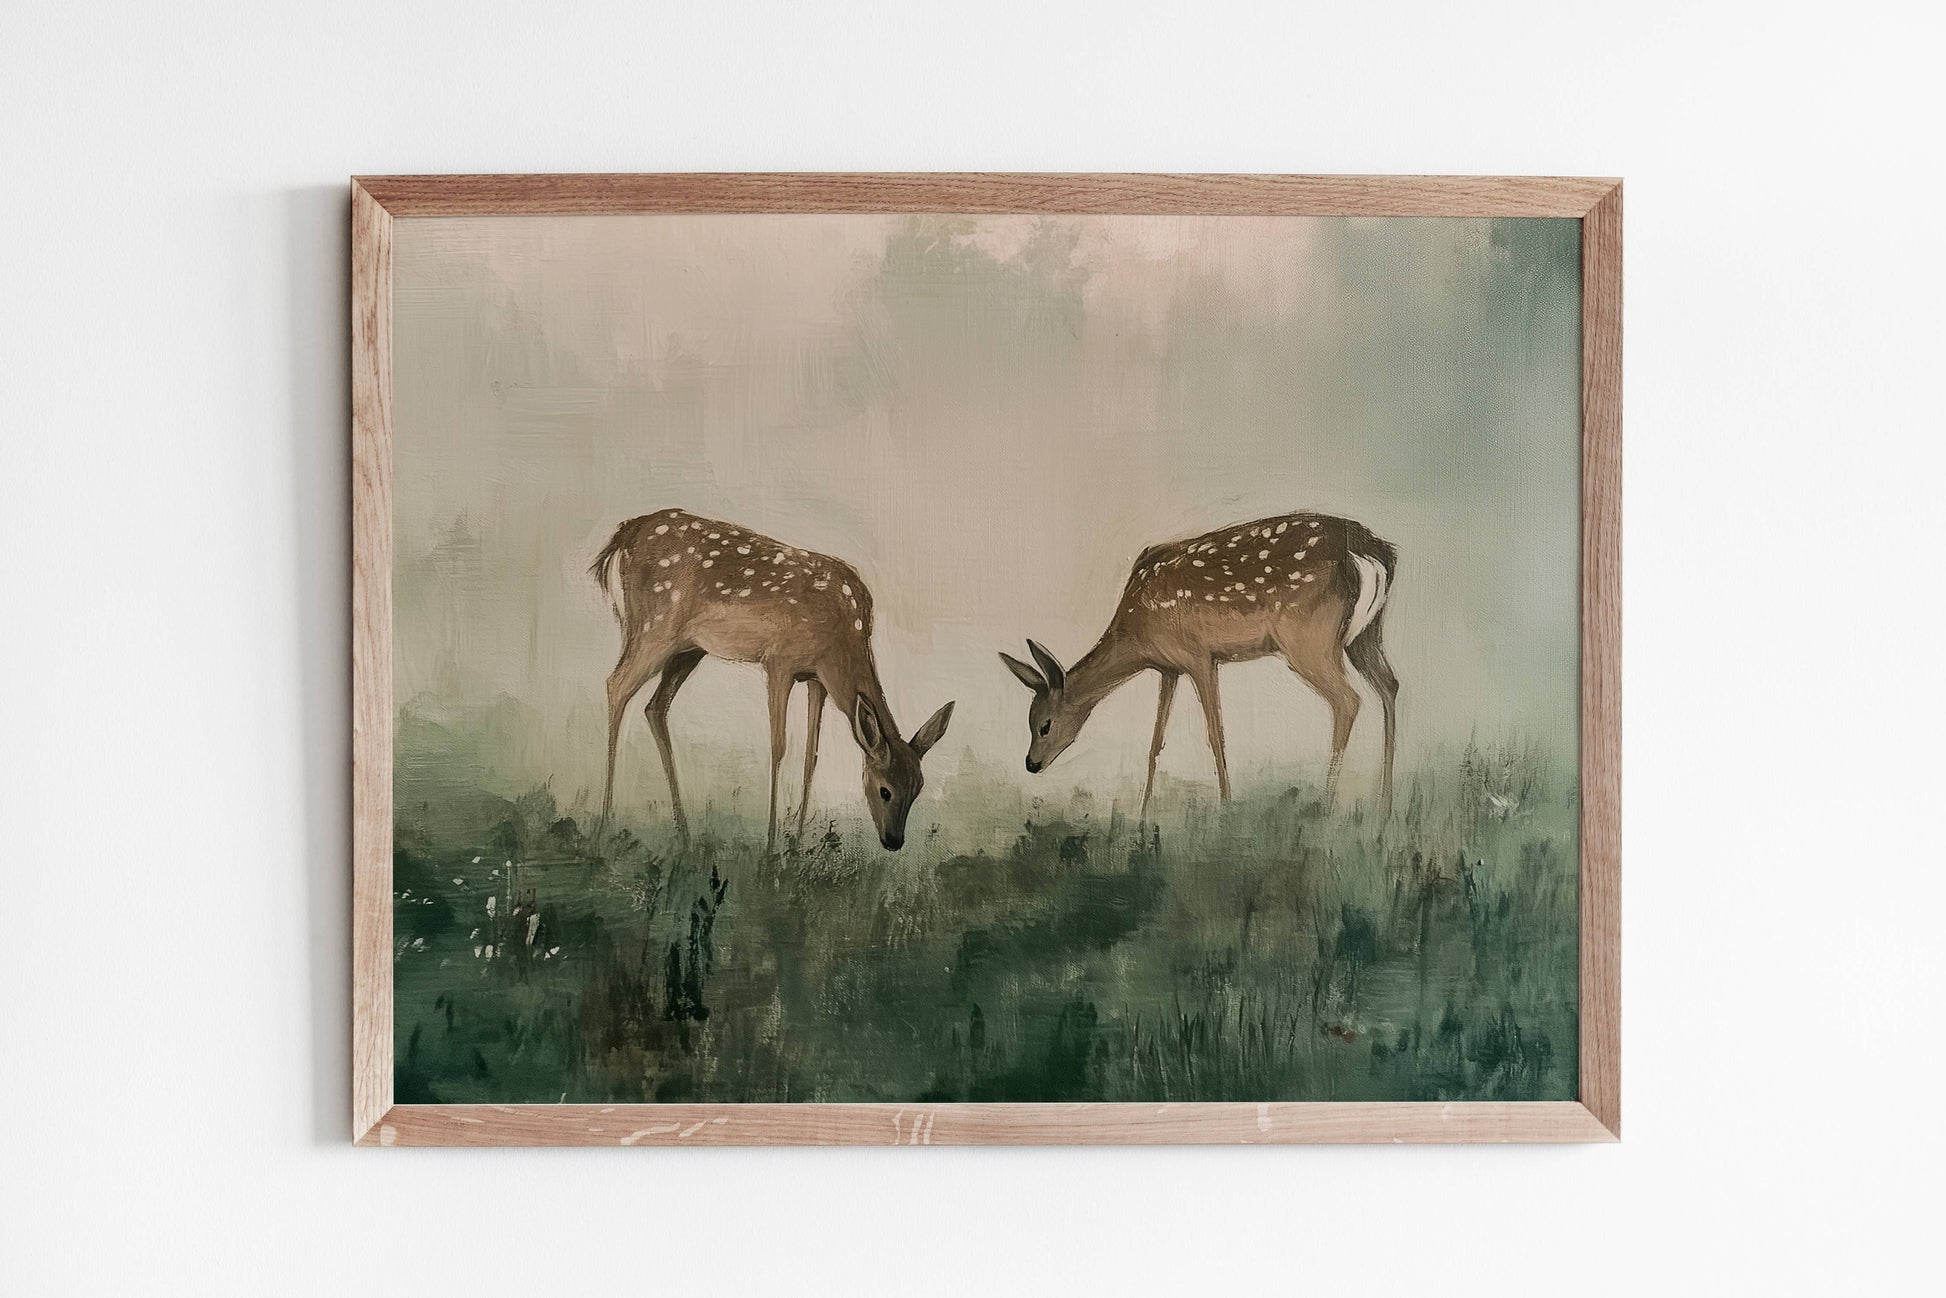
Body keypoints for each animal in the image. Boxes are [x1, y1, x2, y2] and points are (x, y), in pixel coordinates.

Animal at [589, 508, 954, 854]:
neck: (843, 640)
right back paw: (604, 827)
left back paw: (685, 837)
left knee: (654, 707)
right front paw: (770, 847)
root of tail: (630, 529)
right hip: (654, 626)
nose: (893, 841)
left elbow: (811, 756)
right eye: (885, 790)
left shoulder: (816, 678)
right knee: (616, 684)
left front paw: (798, 843)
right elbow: (779, 746)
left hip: (688, 649)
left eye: (918, 788)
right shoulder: (779, 660)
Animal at [1001, 512, 1399, 822]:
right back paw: (1384, 804)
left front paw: (1226, 809)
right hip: (1364, 635)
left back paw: (1325, 806)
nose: (1031, 764)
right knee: (1390, 685)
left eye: (1044, 725)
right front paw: (1142, 816)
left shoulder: (1199, 655)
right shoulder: (1168, 668)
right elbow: (1155, 741)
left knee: (1347, 699)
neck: (1135, 634)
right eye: (1029, 722)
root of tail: (1372, 549)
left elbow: (1215, 735)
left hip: (1308, 637)